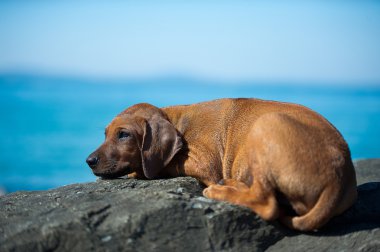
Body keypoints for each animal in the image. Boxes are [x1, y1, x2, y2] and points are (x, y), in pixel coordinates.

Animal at [86, 97, 356, 231]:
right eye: (106, 134)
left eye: (123, 135)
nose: (89, 161)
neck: (177, 121)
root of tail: (338, 179)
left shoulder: (204, 162)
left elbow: (161, 165)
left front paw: (137, 172)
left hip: (265, 125)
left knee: (267, 204)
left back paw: (221, 190)